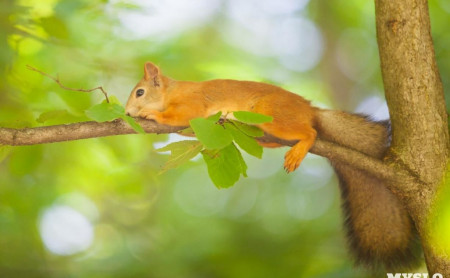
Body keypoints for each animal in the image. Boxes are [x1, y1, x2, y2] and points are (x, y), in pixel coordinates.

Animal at [125, 62, 422, 270]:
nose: (127, 113)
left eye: (140, 92)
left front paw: (151, 114)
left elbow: (180, 116)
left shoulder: (192, 105)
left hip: (272, 114)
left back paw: (300, 147)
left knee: (310, 132)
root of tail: (309, 109)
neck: (173, 91)